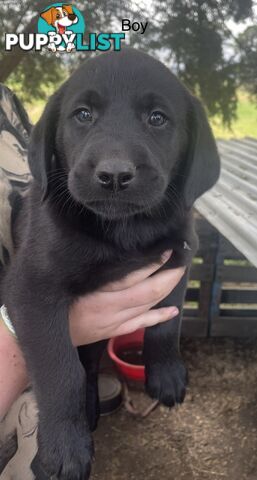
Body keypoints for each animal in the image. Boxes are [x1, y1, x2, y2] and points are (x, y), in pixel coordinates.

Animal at [2, 49, 219, 480]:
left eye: (157, 118)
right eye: (83, 115)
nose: (115, 174)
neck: (124, 231)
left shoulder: (179, 258)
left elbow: (167, 323)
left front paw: (166, 374)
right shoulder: (31, 291)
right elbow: (61, 369)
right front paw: (65, 447)